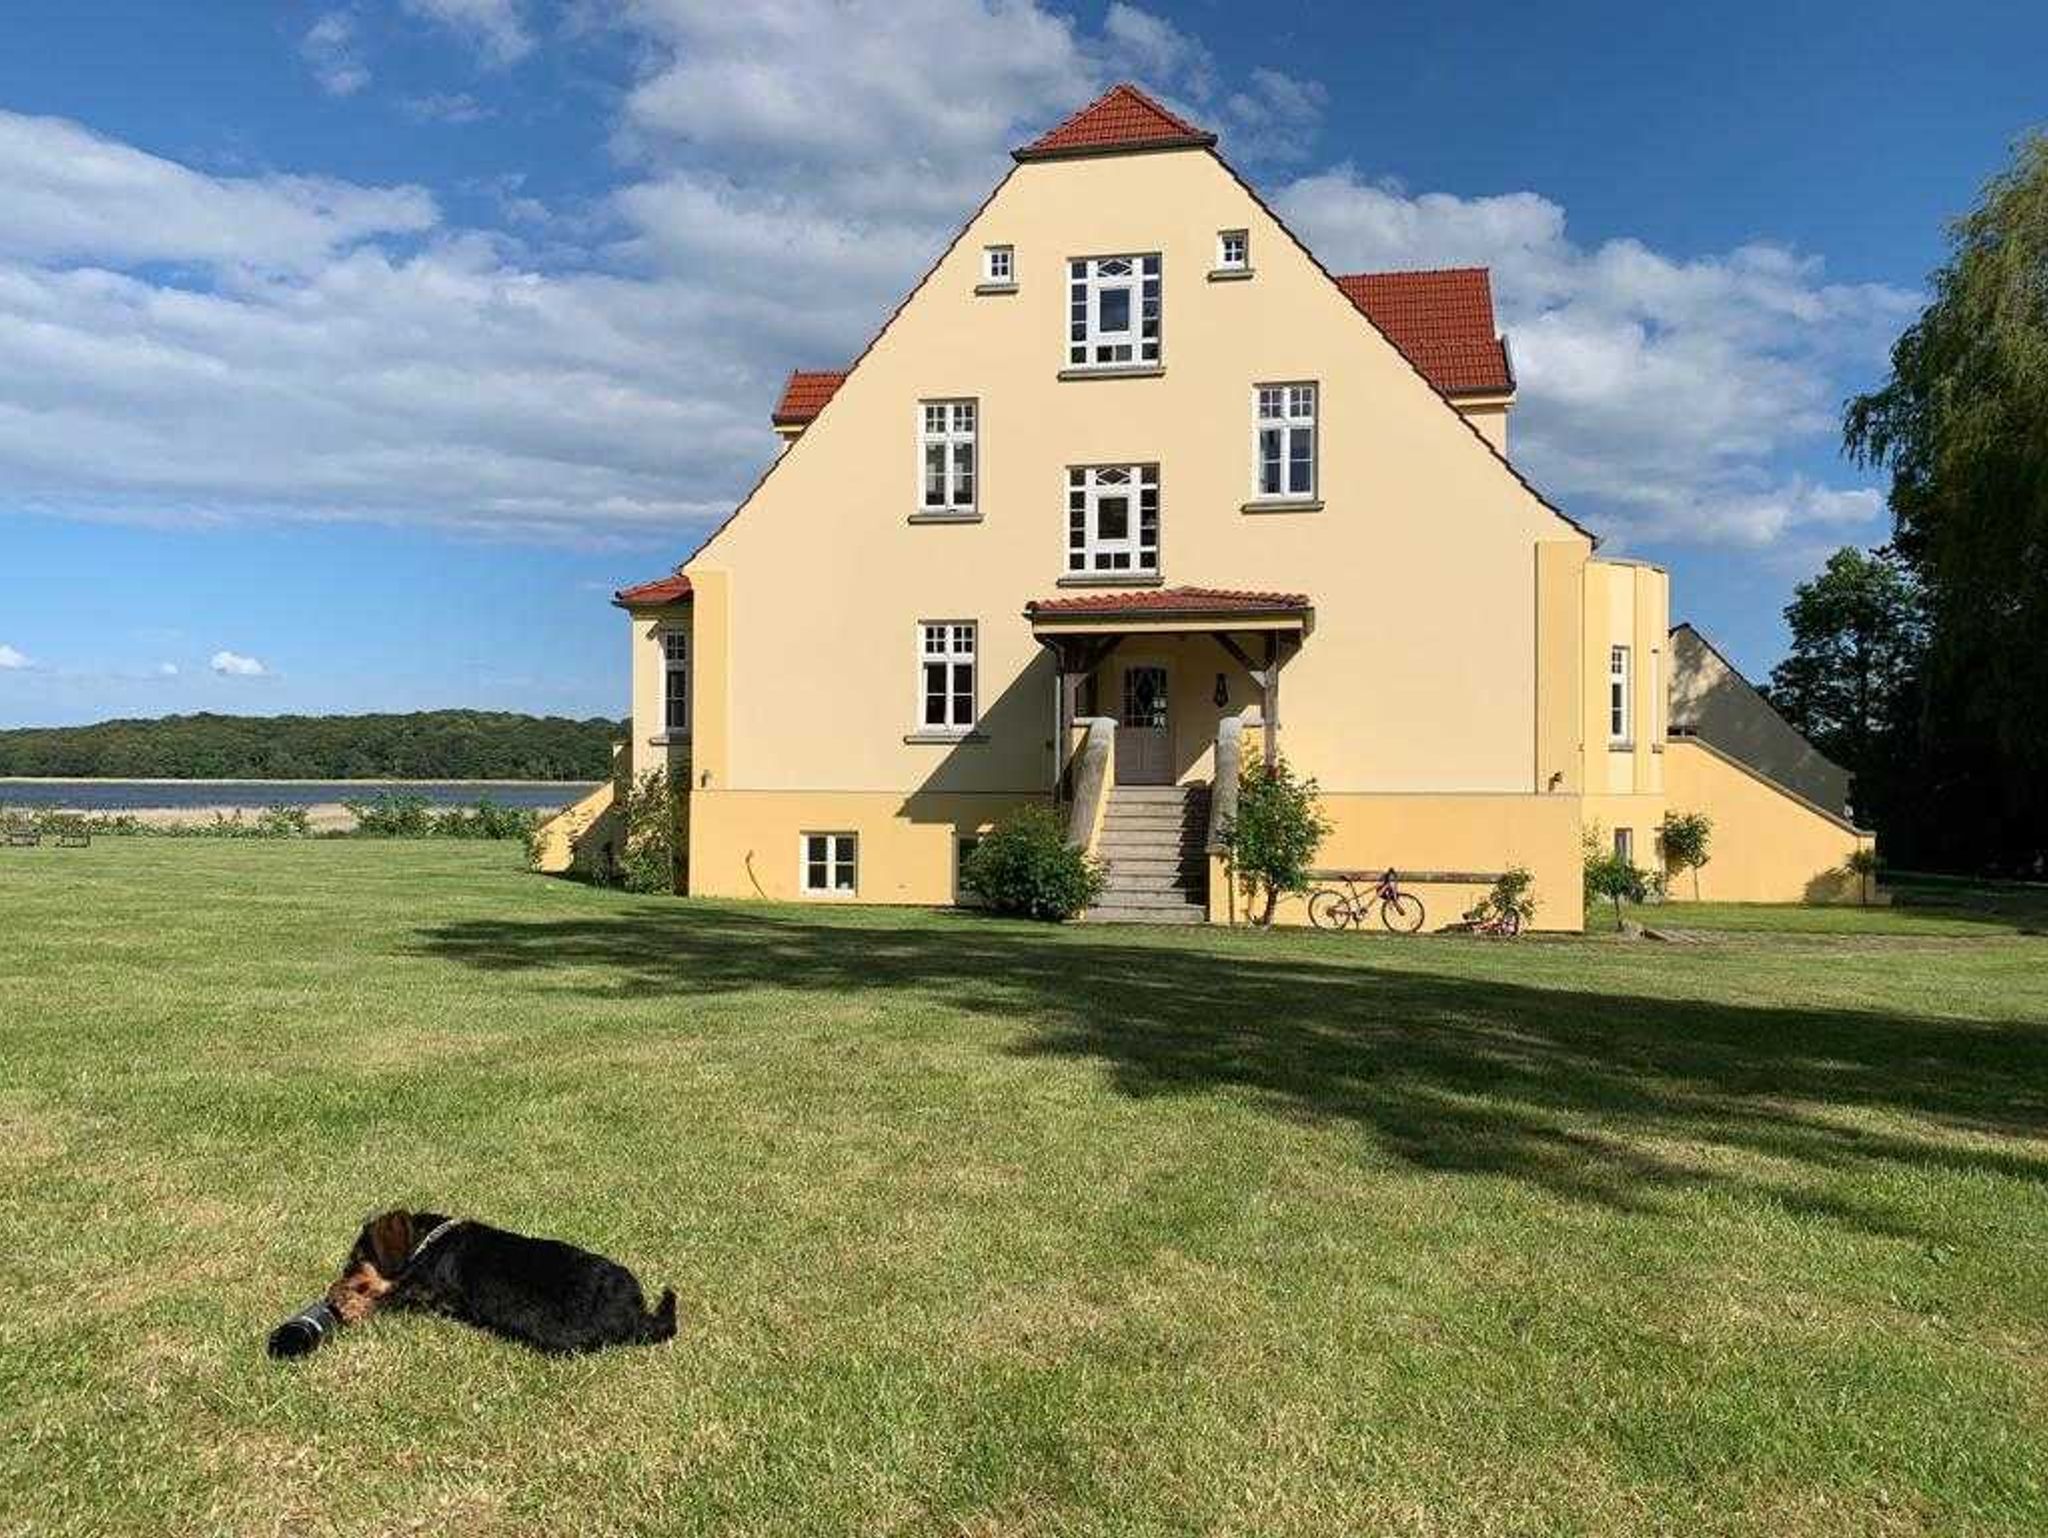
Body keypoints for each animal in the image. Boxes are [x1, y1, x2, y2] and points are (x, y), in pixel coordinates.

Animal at [319, 1212, 671, 1351]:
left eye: (355, 1260)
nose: (339, 1279)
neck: (428, 1243)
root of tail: (636, 1313)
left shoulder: (428, 1290)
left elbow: (390, 1297)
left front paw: (346, 1302)